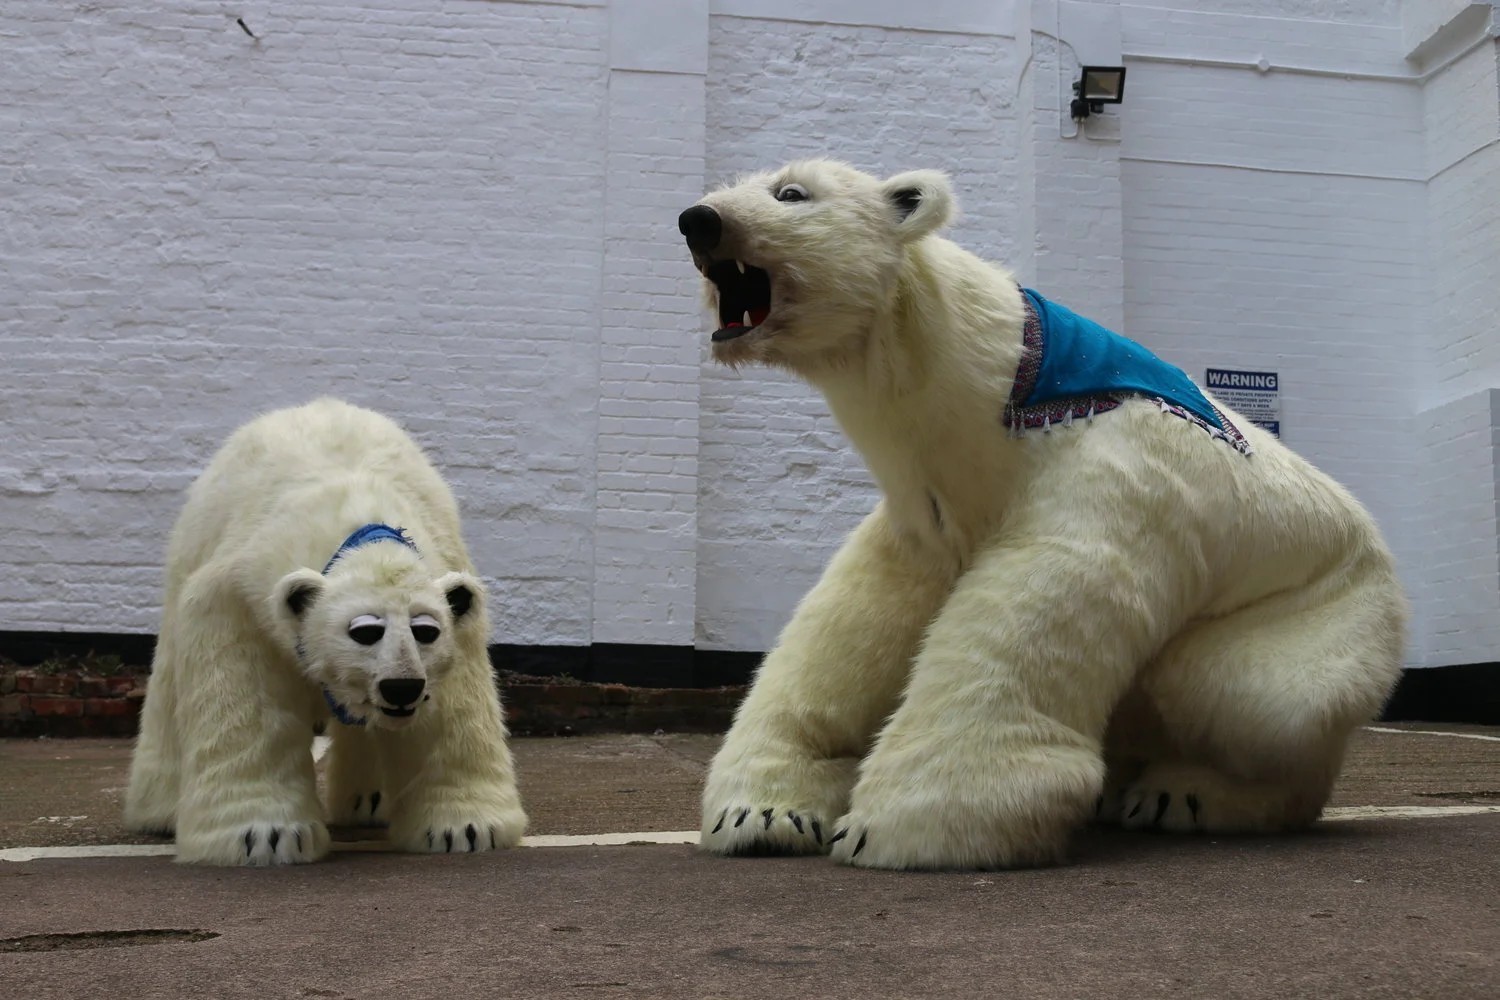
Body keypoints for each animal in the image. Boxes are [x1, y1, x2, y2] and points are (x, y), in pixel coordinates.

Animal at [124, 398, 527, 865]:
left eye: (426, 631)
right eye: (364, 631)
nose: (402, 687)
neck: (361, 532)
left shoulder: (452, 593)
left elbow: (452, 709)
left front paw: (466, 828)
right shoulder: (241, 592)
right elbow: (246, 699)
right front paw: (263, 836)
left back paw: (370, 803)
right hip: (189, 552)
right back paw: (159, 810)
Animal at [677, 160, 1407, 870]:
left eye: (791, 193)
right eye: (744, 183)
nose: (698, 220)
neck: (1009, 395)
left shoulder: (1111, 480)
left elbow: (1038, 606)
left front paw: (908, 828)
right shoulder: (927, 515)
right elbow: (851, 625)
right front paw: (762, 812)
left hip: (1314, 617)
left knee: (1251, 697)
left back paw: (1185, 794)